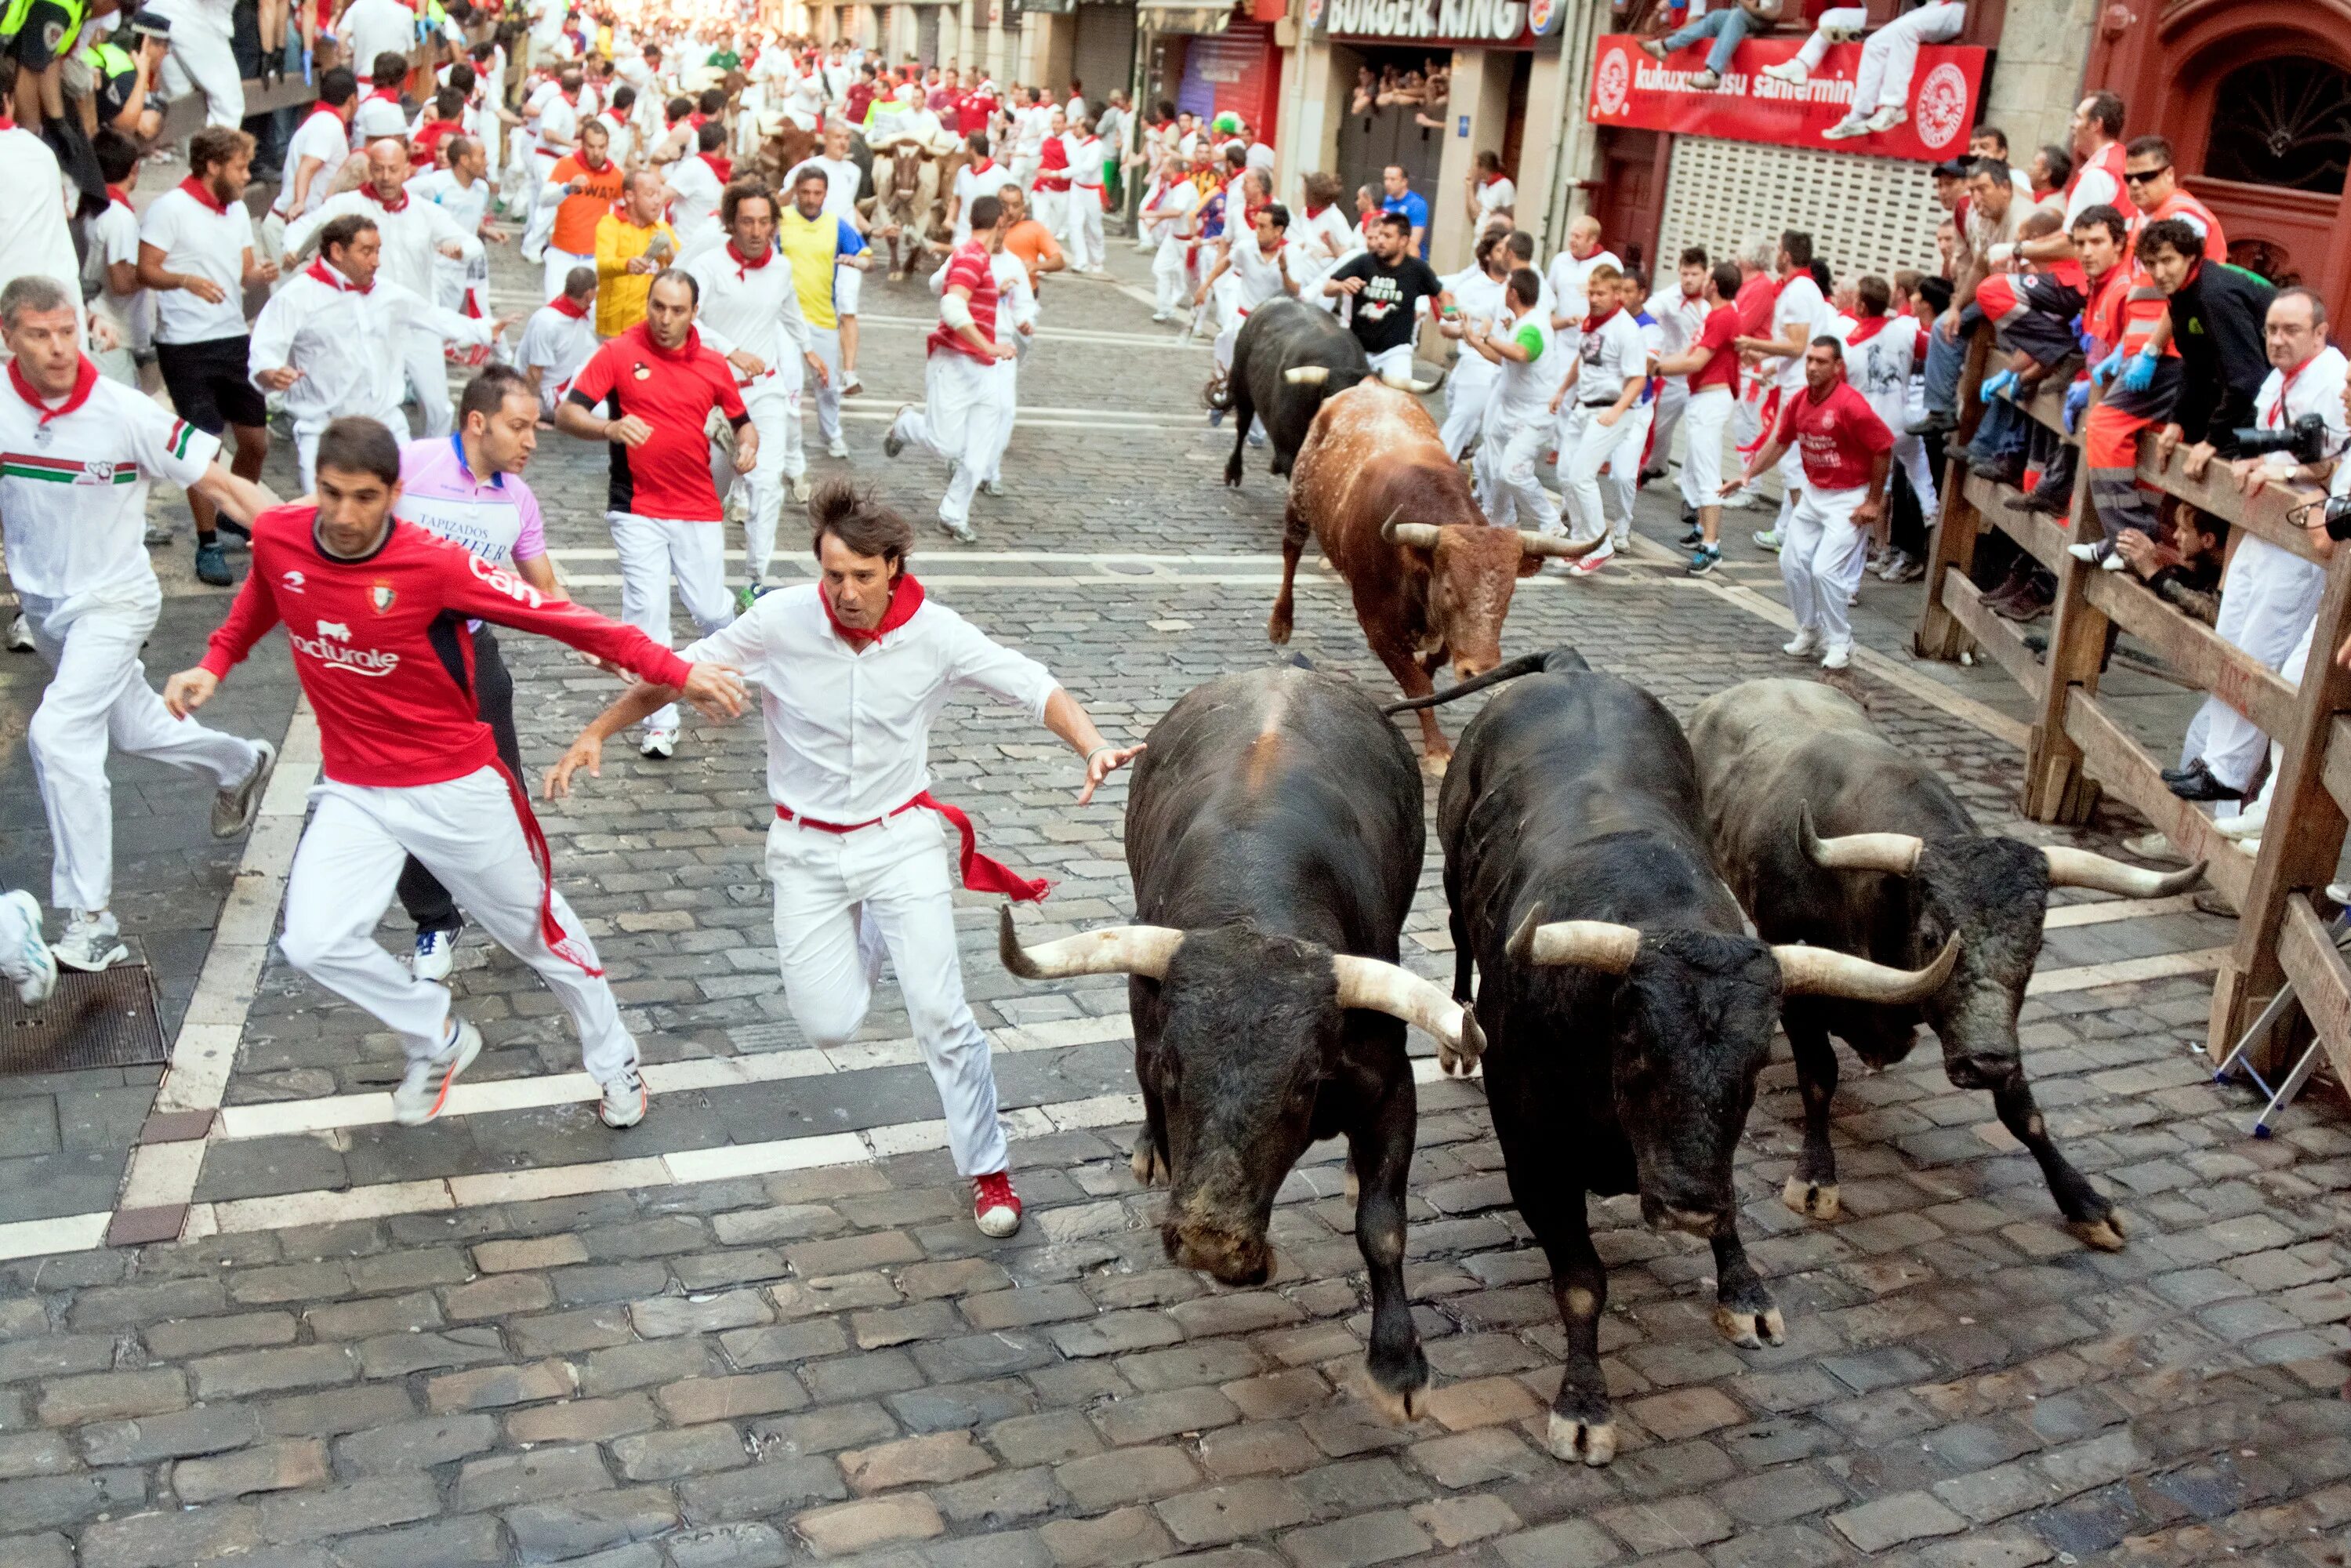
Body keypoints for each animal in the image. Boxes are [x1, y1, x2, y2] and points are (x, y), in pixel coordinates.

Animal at [1001, 667, 1476, 1420]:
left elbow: (1382, 1225)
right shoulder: (1147, 1045)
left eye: (1305, 1083)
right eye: (1172, 1070)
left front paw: (1398, 1365)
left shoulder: (1390, 1084)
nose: (1209, 1240)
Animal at [1269, 380, 1598, 771]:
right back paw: (1281, 622)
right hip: (1299, 500)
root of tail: (1370, 385)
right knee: (1291, 551)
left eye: (1509, 593)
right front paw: (1438, 749)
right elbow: (1419, 686)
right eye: (1449, 587)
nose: (1481, 669)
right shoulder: (1376, 624)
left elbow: (1432, 666)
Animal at [1401, 648, 1956, 1457]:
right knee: (1457, 935)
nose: (1686, 1207)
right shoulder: (1532, 1160)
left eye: (1754, 1066)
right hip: (1447, 873)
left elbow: (1732, 1208)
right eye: (1634, 1047)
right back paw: (1456, 1039)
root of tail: (1569, 668)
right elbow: (1582, 1282)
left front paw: (1744, 1292)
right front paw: (1584, 1406)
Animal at [1693, 681, 2200, 1241]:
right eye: (1934, 936)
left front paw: (2083, 1200)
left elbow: (2023, 1111)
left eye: (2037, 946)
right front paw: (1815, 1178)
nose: (1987, 1063)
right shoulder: (1796, 980)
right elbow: (1820, 1077)